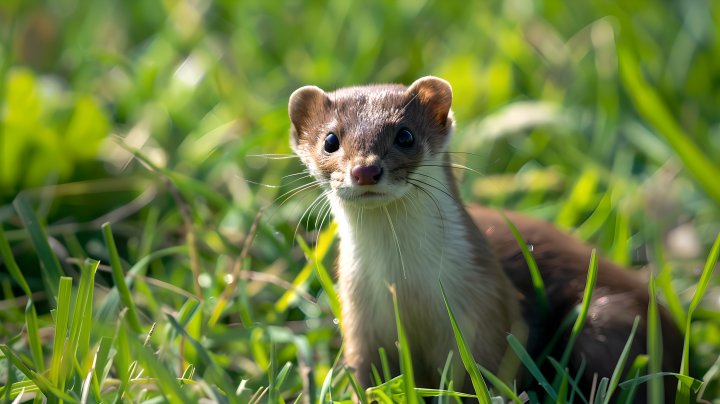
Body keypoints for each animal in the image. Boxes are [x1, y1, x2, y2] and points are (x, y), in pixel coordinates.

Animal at [286, 76, 680, 400]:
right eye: (331, 140)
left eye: (405, 135)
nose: (366, 169)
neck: (408, 288)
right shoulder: (360, 327)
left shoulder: (488, 315)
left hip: (607, 318)